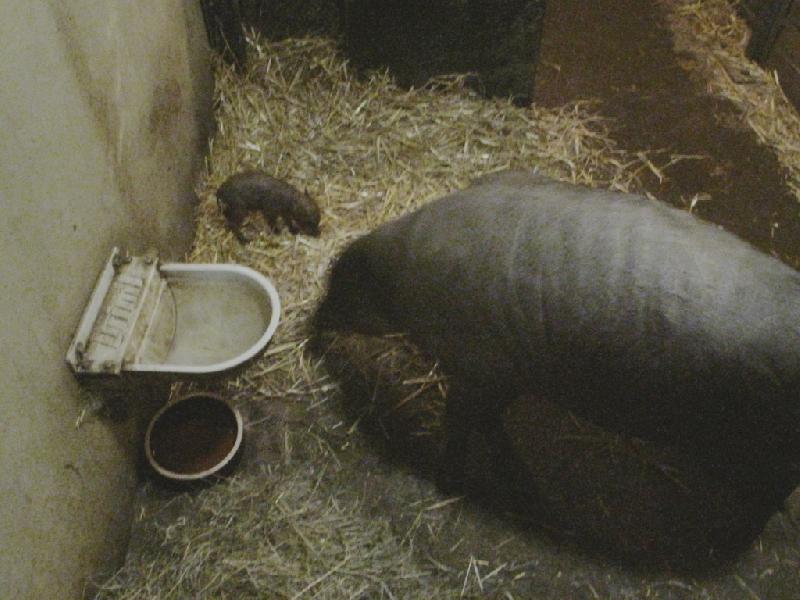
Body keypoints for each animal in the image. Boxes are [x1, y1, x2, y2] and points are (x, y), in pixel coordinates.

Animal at [313, 170, 800, 513]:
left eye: (342, 281)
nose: (313, 323)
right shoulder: (502, 371)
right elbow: (484, 421)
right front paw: (515, 480)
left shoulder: (480, 366)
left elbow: (464, 423)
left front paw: (454, 482)